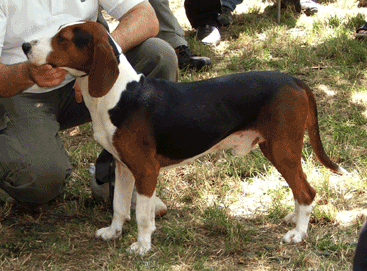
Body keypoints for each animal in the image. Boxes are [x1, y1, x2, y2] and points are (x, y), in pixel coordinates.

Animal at [22, 21, 348, 258]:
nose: (25, 46)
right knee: (299, 190)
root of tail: (294, 80)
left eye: (63, 38)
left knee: (306, 191)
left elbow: (141, 214)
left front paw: (142, 246)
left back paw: (298, 234)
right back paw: (294, 219)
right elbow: (119, 206)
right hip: (276, 148)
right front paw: (113, 233)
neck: (118, 94)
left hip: (283, 149)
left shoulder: (145, 171)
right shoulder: (122, 166)